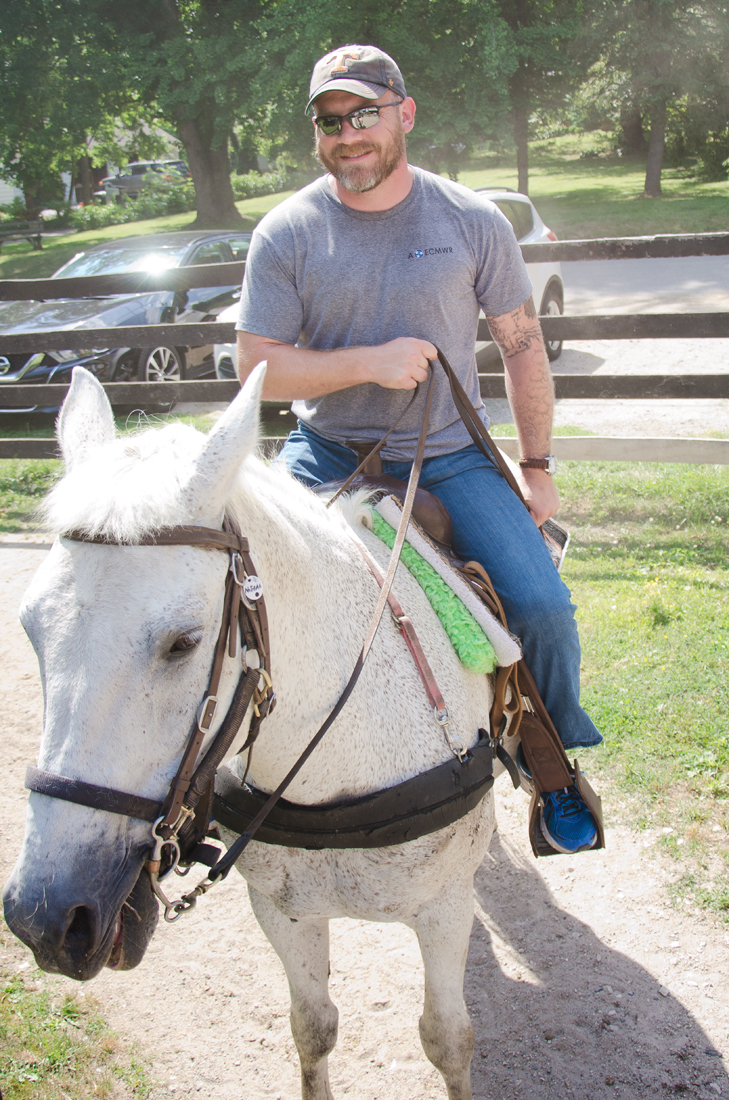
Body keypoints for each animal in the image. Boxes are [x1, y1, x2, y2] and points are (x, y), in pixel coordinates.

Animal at [4, 369, 507, 1100]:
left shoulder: (443, 911)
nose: (44, 919)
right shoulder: (283, 911)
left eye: (182, 643)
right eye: (30, 627)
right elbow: (312, 1028)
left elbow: (448, 1039)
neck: (341, 767)